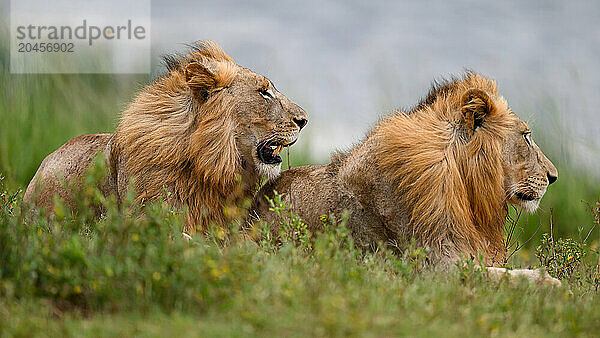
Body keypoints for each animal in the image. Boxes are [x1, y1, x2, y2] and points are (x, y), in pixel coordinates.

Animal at [251, 72, 560, 284]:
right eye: (526, 136)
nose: (554, 176)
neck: (461, 180)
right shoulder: (436, 264)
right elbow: (511, 276)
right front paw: (554, 285)